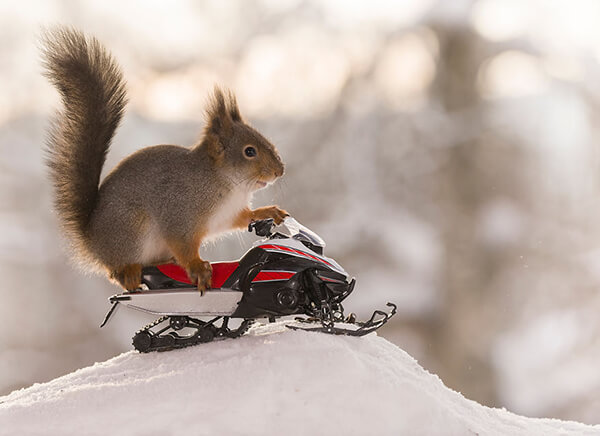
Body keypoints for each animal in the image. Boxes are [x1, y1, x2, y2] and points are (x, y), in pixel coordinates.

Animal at [40, 27, 288, 292]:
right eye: (249, 151)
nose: (280, 170)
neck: (227, 184)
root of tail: (92, 244)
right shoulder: (179, 213)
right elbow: (183, 244)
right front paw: (198, 267)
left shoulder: (226, 215)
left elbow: (243, 218)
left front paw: (266, 211)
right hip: (132, 229)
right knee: (114, 271)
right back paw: (129, 272)